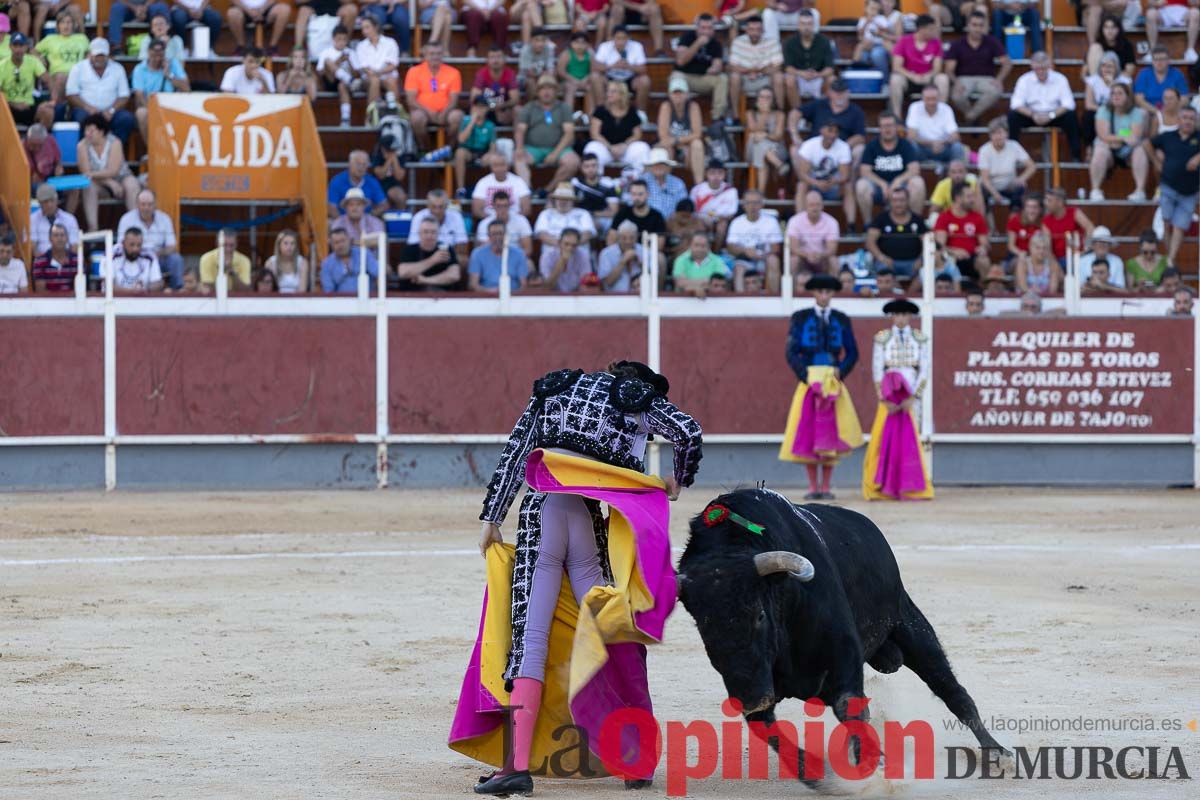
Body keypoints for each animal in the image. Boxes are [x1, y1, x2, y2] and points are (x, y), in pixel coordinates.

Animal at [681, 489, 1008, 782]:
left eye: (760, 615)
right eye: (701, 625)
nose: (751, 699)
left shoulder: (842, 652)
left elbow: (848, 706)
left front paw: (876, 768)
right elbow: (767, 728)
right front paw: (814, 773)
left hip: (911, 626)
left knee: (952, 691)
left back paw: (997, 753)